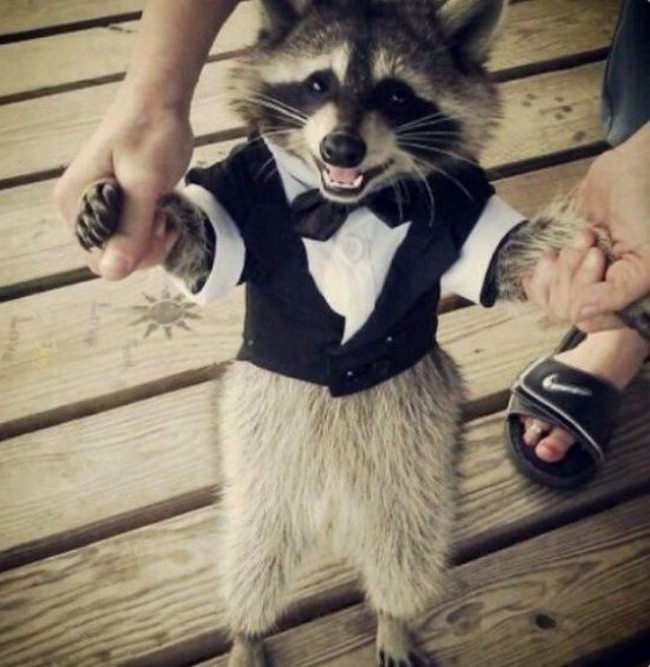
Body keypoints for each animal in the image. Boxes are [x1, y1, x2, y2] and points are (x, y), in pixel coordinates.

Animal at [74, 1, 649, 665]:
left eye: (396, 94)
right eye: (318, 83)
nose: (341, 146)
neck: (347, 206)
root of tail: (333, 513)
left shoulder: (461, 206)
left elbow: (507, 260)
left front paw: (577, 259)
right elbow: (205, 253)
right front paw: (164, 216)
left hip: (414, 468)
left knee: (408, 553)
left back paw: (393, 618)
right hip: (262, 457)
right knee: (251, 555)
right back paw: (247, 630)